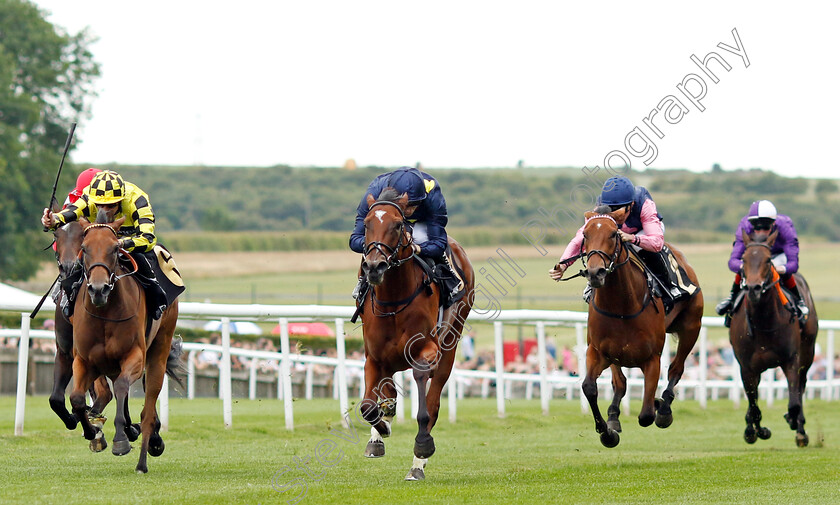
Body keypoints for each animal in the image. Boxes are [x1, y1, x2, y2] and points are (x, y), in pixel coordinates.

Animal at [71, 217, 180, 472]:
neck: (104, 312)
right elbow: (77, 399)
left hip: (158, 352)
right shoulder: (84, 360)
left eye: (114, 249)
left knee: (148, 412)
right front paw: (92, 431)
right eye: (84, 249)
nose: (98, 289)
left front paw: (120, 440)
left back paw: (143, 457)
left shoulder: (135, 357)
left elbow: (122, 387)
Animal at [354, 189, 472, 480]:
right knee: (388, 392)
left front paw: (422, 446)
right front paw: (380, 431)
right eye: (366, 224)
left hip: (451, 343)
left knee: (433, 401)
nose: (374, 266)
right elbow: (367, 406)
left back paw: (417, 465)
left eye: (398, 225)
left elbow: (424, 404)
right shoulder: (374, 357)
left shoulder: (427, 350)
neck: (394, 300)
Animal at [576, 207, 704, 446]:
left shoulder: (652, 358)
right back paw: (615, 415)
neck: (622, 306)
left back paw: (664, 408)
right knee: (620, 383)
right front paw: (607, 432)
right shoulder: (598, 351)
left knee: (676, 369)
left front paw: (658, 407)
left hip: (691, 328)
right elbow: (590, 387)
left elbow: (646, 415)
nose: (595, 273)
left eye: (613, 234)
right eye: (585, 235)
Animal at [732, 228, 816, 444]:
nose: (753, 288)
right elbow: (754, 405)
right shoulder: (747, 367)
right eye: (743, 258)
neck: (764, 322)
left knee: (801, 386)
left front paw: (793, 420)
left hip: (808, 353)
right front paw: (756, 431)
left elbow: (794, 402)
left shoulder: (791, 360)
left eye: (768, 260)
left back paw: (800, 429)